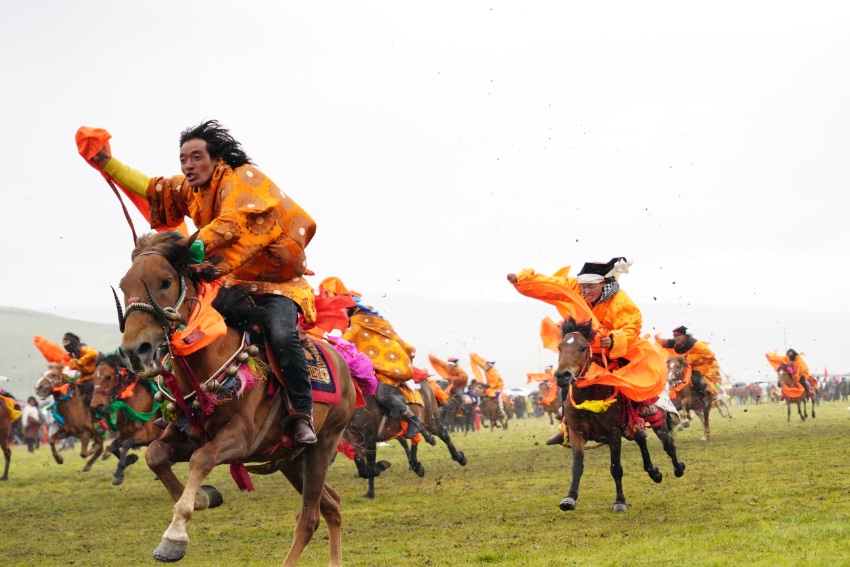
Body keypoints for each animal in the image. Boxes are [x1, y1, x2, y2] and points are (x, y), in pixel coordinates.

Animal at [90, 358, 161, 486]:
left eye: (108, 377)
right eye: (93, 378)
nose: (96, 406)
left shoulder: (150, 436)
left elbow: (127, 443)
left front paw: (118, 474)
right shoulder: (124, 434)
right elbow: (112, 446)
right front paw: (130, 459)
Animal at [114, 232, 352, 567]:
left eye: (165, 281)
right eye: (124, 285)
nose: (135, 351)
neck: (209, 360)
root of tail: (344, 364)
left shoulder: (239, 439)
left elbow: (201, 460)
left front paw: (174, 537)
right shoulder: (185, 436)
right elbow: (155, 455)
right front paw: (204, 497)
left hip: (322, 444)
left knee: (309, 518)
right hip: (289, 458)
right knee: (331, 504)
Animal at [548, 320, 684, 516]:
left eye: (583, 348)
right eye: (560, 347)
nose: (562, 375)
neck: (592, 395)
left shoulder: (613, 433)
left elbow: (616, 468)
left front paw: (620, 501)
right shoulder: (576, 432)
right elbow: (577, 466)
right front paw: (569, 499)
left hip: (655, 419)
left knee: (668, 444)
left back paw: (678, 467)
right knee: (641, 438)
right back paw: (654, 472)